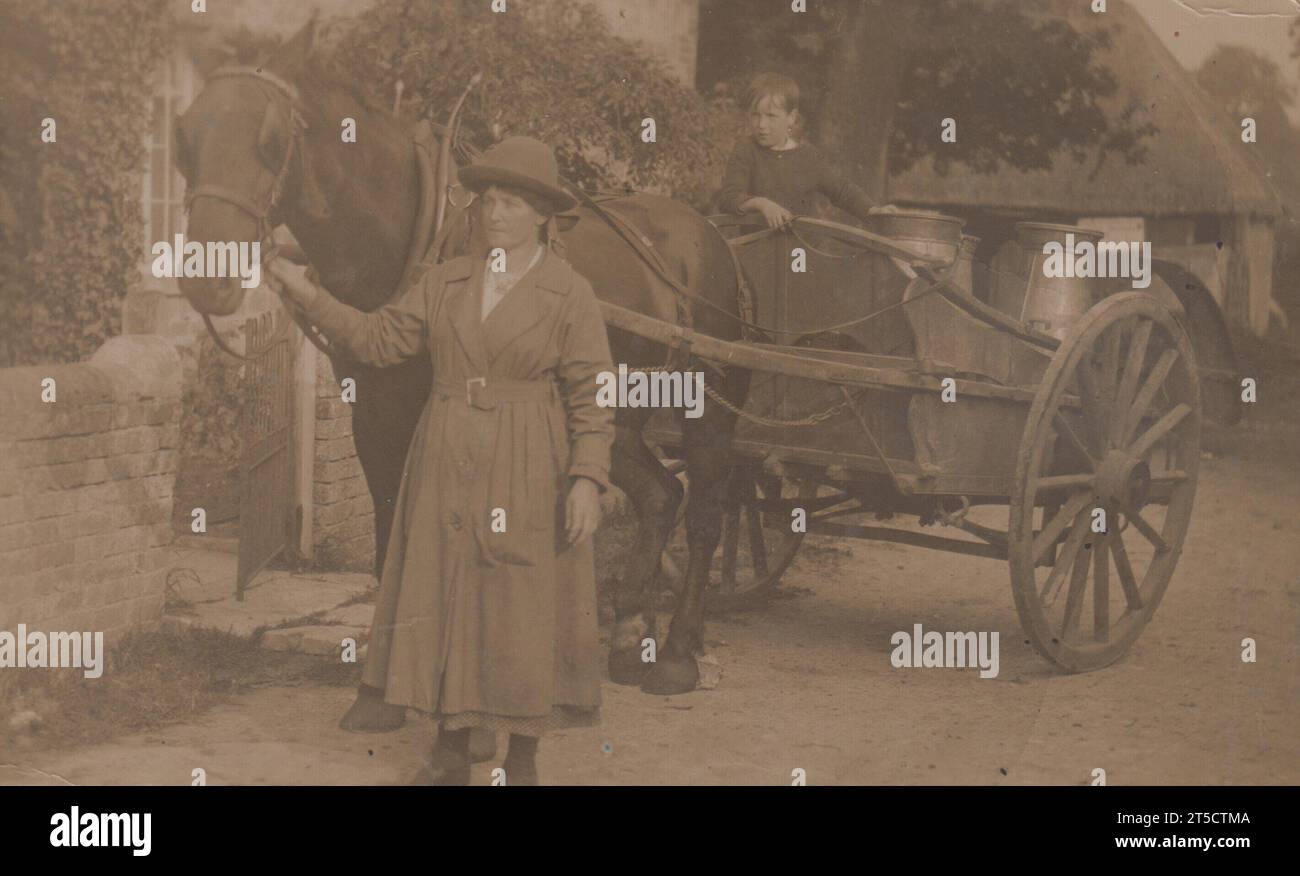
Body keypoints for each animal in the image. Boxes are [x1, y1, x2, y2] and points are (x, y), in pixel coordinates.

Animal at [172, 17, 754, 707]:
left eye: (268, 140)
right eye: (184, 136)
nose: (206, 279)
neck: (407, 237)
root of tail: (712, 236)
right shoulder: (374, 410)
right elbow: (389, 532)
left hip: (707, 407)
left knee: (708, 512)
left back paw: (681, 651)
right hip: (616, 416)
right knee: (662, 497)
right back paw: (630, 632)